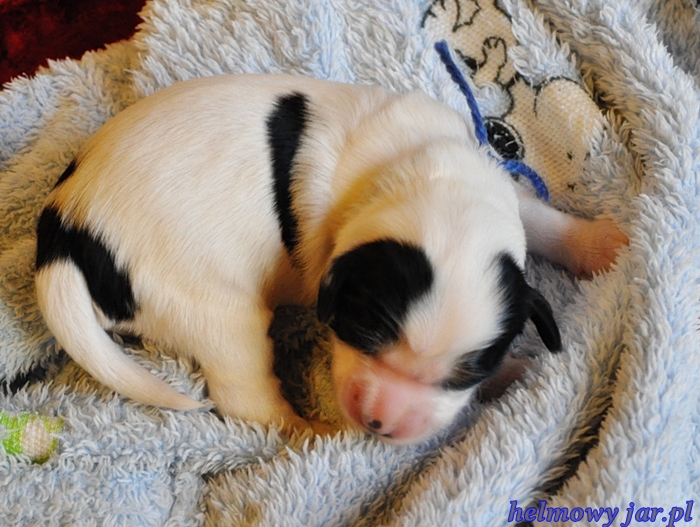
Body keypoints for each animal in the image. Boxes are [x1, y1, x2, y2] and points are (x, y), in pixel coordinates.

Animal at [35, 74, 628, 444]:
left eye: (466, 371)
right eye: (363, 332)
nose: (381, 424)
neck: (409, 172)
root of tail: (67, 227)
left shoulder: (492, 185)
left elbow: (536, 216)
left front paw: (602, 244)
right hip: (211, 311)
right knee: (247, 400)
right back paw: (314, 433)